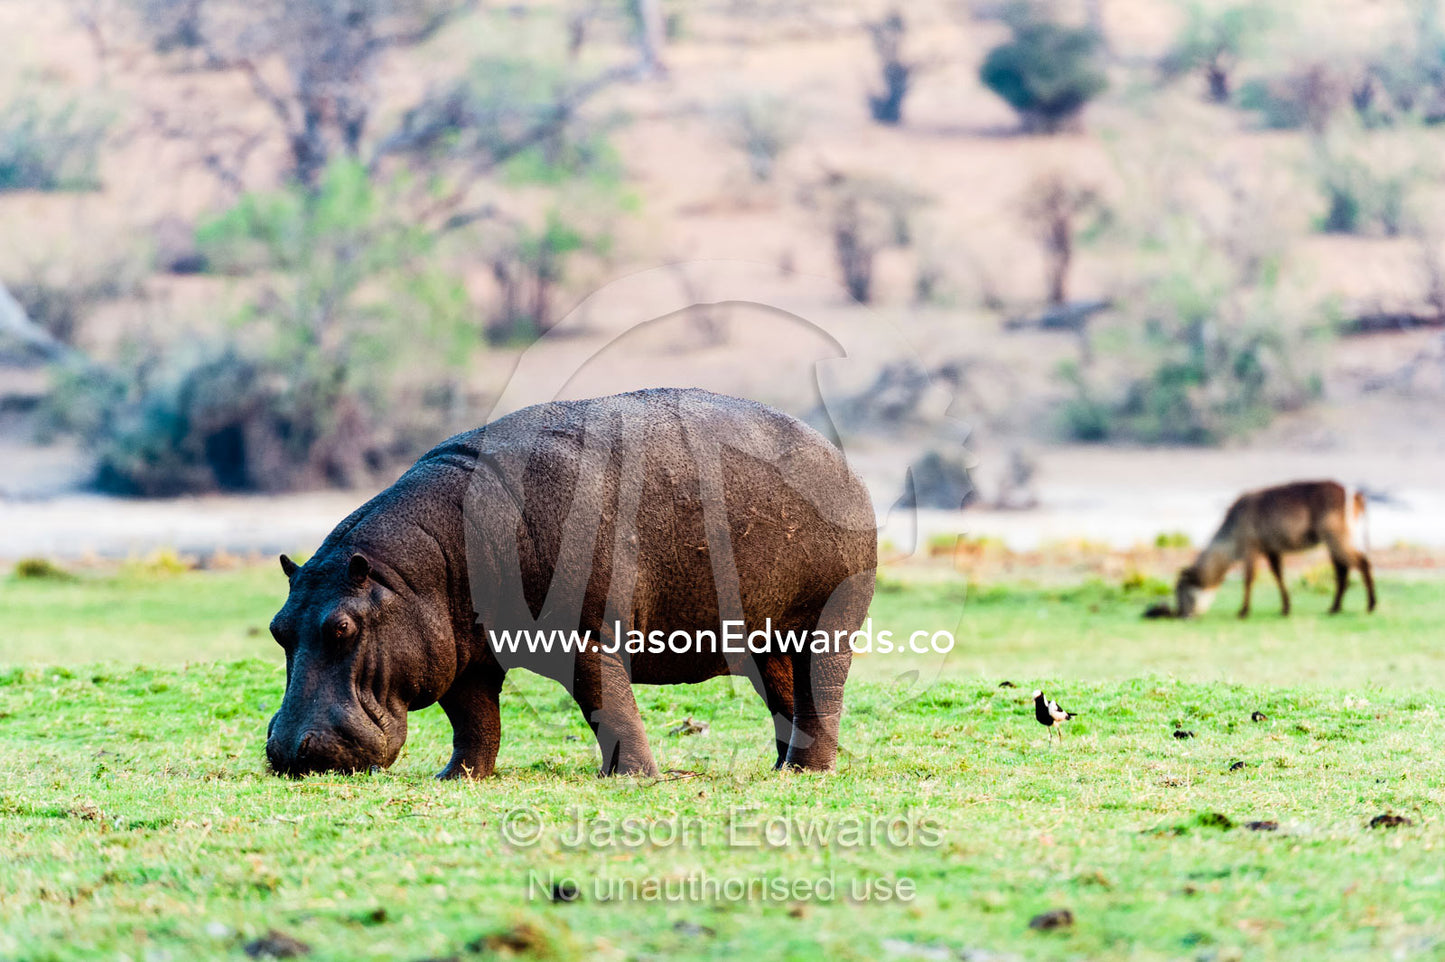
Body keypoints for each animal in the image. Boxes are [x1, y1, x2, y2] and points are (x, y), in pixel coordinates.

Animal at [265, 388, 877, 778]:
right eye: (277, 628)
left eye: (343, 628)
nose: (290, 752)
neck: (412, 575)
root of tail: (840, 458)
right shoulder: (463, 657)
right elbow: (473, 721)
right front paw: (456, 777)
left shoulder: (587, 638)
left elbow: (607, 705)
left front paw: (632, 777)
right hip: (765, 637)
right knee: (784, 694)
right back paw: (782, 766)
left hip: (829, 621)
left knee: (821, 690)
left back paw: (807, 772)